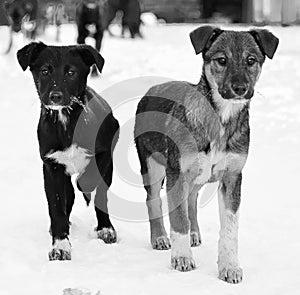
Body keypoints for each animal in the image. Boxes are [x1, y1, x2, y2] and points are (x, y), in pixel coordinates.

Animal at [17, 42, 119, 262]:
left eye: (71, 72)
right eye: (45, 71)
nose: (55, 96)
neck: (65, 121)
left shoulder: (104, 151)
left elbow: (91, 182)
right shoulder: (52, 167)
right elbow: (57, 208)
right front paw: (60, 246)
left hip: (108, 168)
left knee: (101, 195)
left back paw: (106, 228)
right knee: (69, 198)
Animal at [134, 26, 278, 284]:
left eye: (251, 60)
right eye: (221, 60)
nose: (240, 89)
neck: (221, 119)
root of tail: (151, 89)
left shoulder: (233, 176)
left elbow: (230, 227)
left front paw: (230, 267)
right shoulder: (177, 172)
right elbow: (178, 219)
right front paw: (181, 259)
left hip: (199, 177)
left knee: (190, 200)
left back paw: (194, 233)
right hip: (152, 163)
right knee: (153, 200)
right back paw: (159, 237)